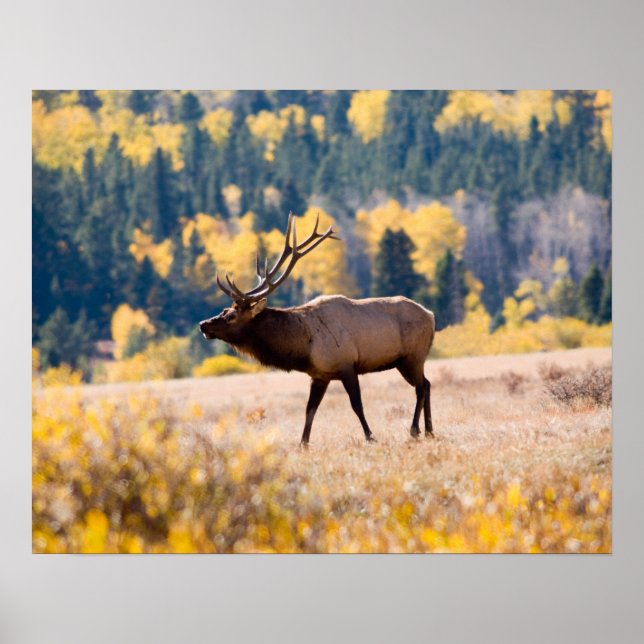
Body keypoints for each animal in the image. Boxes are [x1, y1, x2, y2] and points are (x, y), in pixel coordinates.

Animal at [199, 213, 435, 446]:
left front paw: (370, 436)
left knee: (420, 387)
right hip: (407, 360)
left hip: (412, 356)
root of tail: (431, 315)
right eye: (224, 309)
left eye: (231, 316)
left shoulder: (346, 365)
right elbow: (309, 409)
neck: (304, 347)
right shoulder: (320, 375)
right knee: (427, 383)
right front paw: (303, 444)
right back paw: (430, 431)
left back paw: (415, 430)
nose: (203, 324)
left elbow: (356, 404)